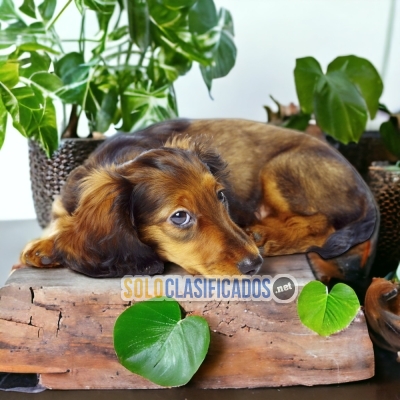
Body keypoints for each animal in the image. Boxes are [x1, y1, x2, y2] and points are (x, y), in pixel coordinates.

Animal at [20, 117, 380, 282]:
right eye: (179, 216)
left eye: (220, 195)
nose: (254, 265)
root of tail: (367, 193)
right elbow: (61, 225)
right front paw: (44, 246)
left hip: (281, 167)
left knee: (322, 224)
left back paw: (266, 233)